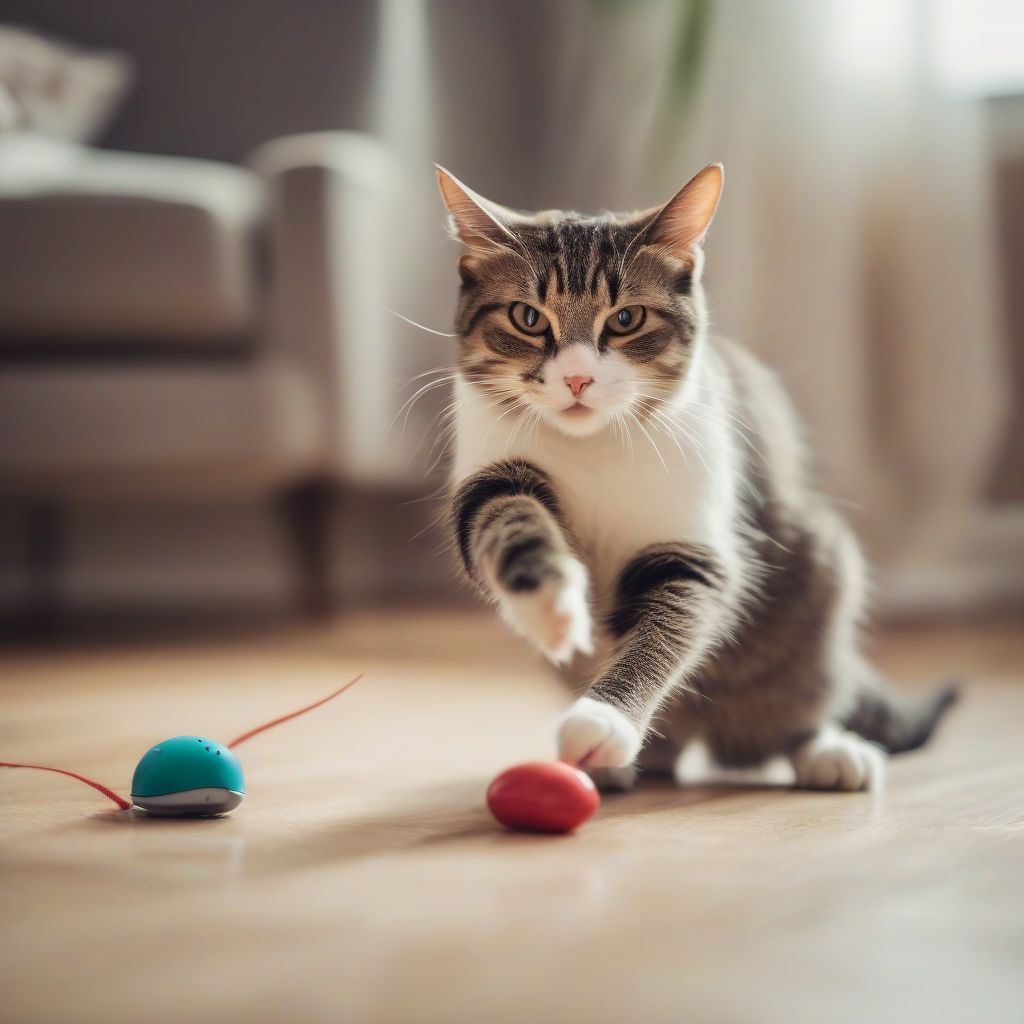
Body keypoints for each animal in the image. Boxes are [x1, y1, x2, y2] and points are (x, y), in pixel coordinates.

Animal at [436, 165, 954, 790]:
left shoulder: (690, 537)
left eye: (626, 319)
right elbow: (502, 521)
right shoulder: (491, 470)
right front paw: (551, 606)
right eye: (528, 318)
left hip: (823, 585)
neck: (596, 442)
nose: (578, 380)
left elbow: (670, 618)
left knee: (799, 705)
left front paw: (604, 717)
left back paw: (827, 752)